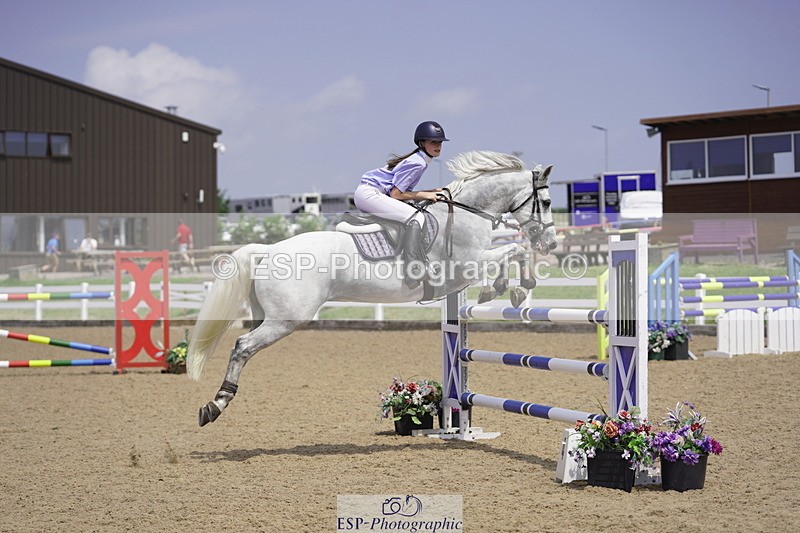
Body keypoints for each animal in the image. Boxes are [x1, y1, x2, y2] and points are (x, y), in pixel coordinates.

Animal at [187, 150, 557, 426]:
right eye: (548, 202)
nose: (551, 243)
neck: (467, 214)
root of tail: (268, 249)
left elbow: (513, 251)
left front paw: (506, 288)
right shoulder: (466, 266)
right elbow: (514, 250)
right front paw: (513, 288)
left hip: (268, 316)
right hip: (286, 320)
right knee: (242, 346)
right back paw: (216, 404)